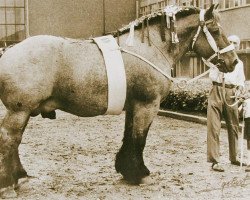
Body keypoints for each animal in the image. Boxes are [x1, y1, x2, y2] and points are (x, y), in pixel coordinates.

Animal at [0, 4, 238, 197]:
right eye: (215, 31)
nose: (234, 61)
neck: (149, 48)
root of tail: (8, 51)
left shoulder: (133, 106)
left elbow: (129, 136)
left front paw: (127, 170)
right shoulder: (147, 105)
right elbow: (139, 139)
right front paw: (139, 173)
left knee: (15, 142)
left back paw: (20, 177)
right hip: (18, 112)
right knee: (9, 140)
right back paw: (8, 184)